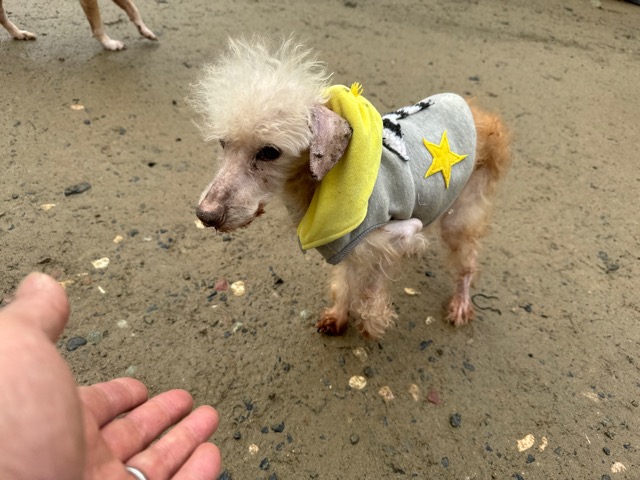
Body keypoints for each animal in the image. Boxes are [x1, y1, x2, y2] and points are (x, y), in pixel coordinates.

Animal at [191, 36, 512, 339]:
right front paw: (338, 316)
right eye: (223, 143)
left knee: (467, 262)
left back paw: (460, 303)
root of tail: (482, 115)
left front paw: (371, 322)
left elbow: (373, 283)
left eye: (270, 152)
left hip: (463, 214)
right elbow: (345, 281)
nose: (205, 215)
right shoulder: (345, 244)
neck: (320, 187)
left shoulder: (392, 236)